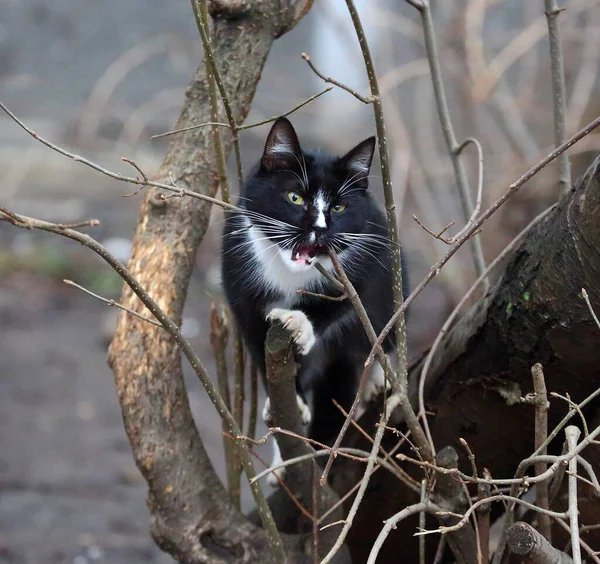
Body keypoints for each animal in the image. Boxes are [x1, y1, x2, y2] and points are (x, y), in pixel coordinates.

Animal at [220, 119, 398, 484]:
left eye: (338, 207)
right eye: (295, 197)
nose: (319, 227)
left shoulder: (367, 260)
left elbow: (343, 300)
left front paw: (298, 321)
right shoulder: (237, 275)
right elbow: (257, 340)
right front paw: (292, 404)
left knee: (378, 329)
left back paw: (377, 376)